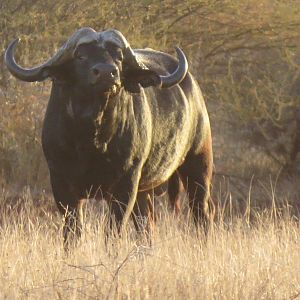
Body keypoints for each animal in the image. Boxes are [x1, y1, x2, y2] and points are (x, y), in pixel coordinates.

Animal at [5, 27, 216, 248]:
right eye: (80, 56)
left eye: (119, 57)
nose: (107, 72)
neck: (91, 139)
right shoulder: (61, 183)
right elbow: (72, 231)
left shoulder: (125, 184)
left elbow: (112, 231)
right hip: (145, 191)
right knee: (147, 224)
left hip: (199, 165)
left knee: (201, 212)